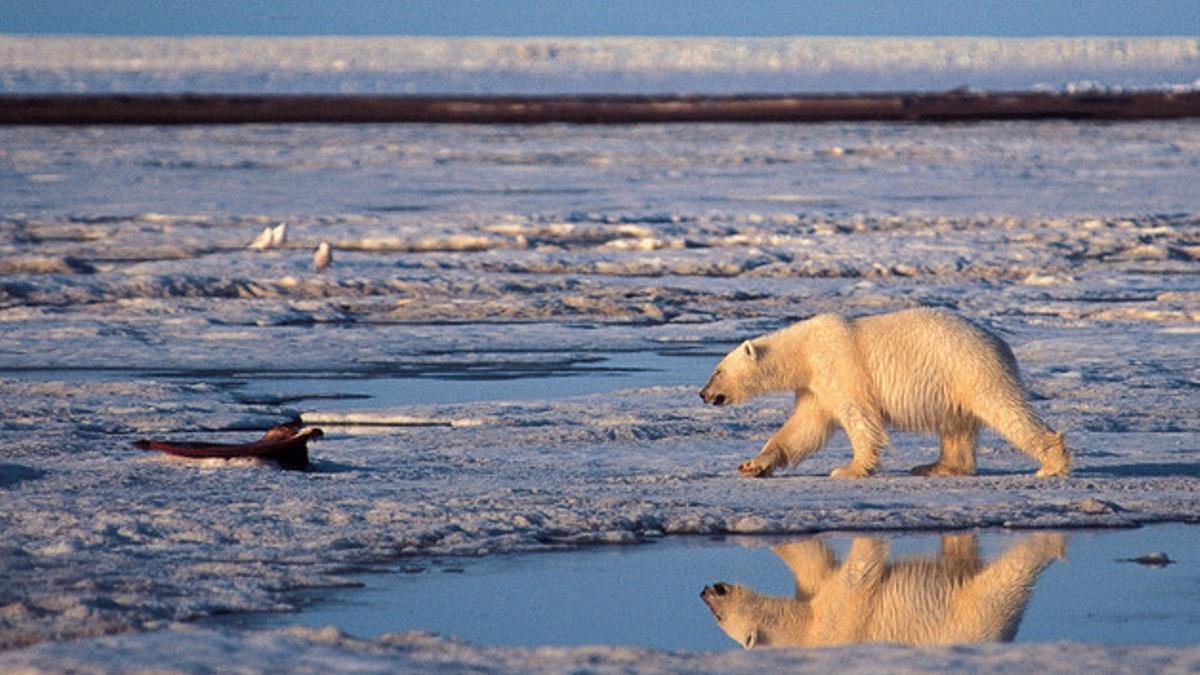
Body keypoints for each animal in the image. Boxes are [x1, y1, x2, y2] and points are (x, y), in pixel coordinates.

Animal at [700, 307, 1075, 475]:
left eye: (717, 370)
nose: (703, 394)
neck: (804, 350)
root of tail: (1001, 343)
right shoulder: (815, 387)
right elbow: (803, 428)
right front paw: (752, 464)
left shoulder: (839, 367)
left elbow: (859, 417)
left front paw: (849, 469)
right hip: (954, 383)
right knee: (956, 426)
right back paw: (935, 466)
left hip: (969, 368)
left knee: (1005, 409)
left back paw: (1051, 463)